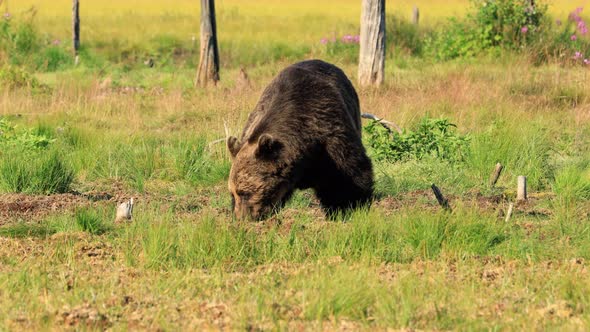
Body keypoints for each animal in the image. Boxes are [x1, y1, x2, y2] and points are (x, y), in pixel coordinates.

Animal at [228, 59, 374, 220]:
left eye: (245, 192)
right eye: (233, 193)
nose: (242, 218)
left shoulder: (331, 136)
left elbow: (346, 176)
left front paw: (347, 206)